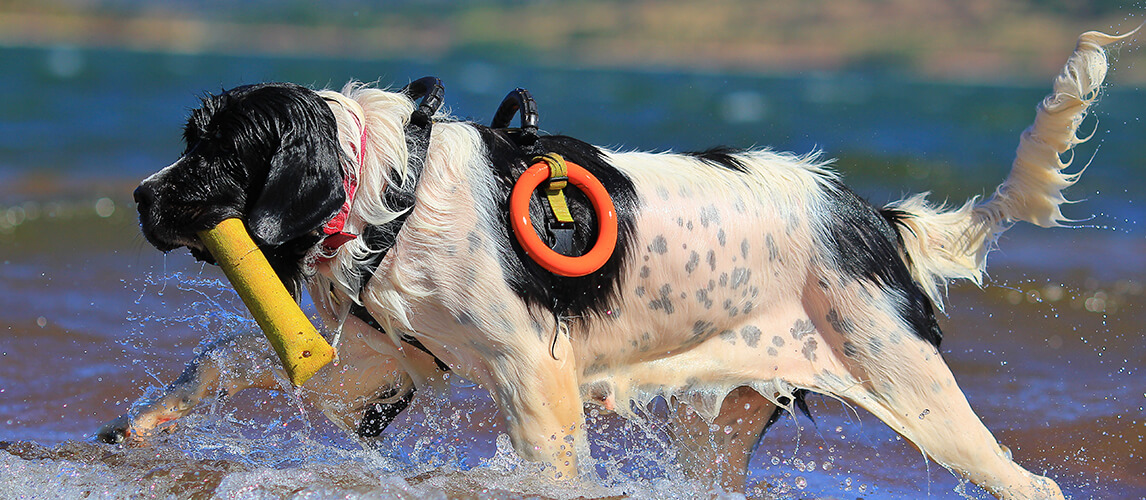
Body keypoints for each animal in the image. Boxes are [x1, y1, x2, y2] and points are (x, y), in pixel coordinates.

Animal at [100, 29, 1127, 497]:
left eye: (213, 150)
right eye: (188, 141)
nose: (142, 197)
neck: (395, 184)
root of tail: (871, 216)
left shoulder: (533, 377)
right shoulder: (384, 356)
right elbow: (225, 358)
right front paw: (137, 427)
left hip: (917, 394)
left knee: (1030, 483)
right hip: (723, 421)